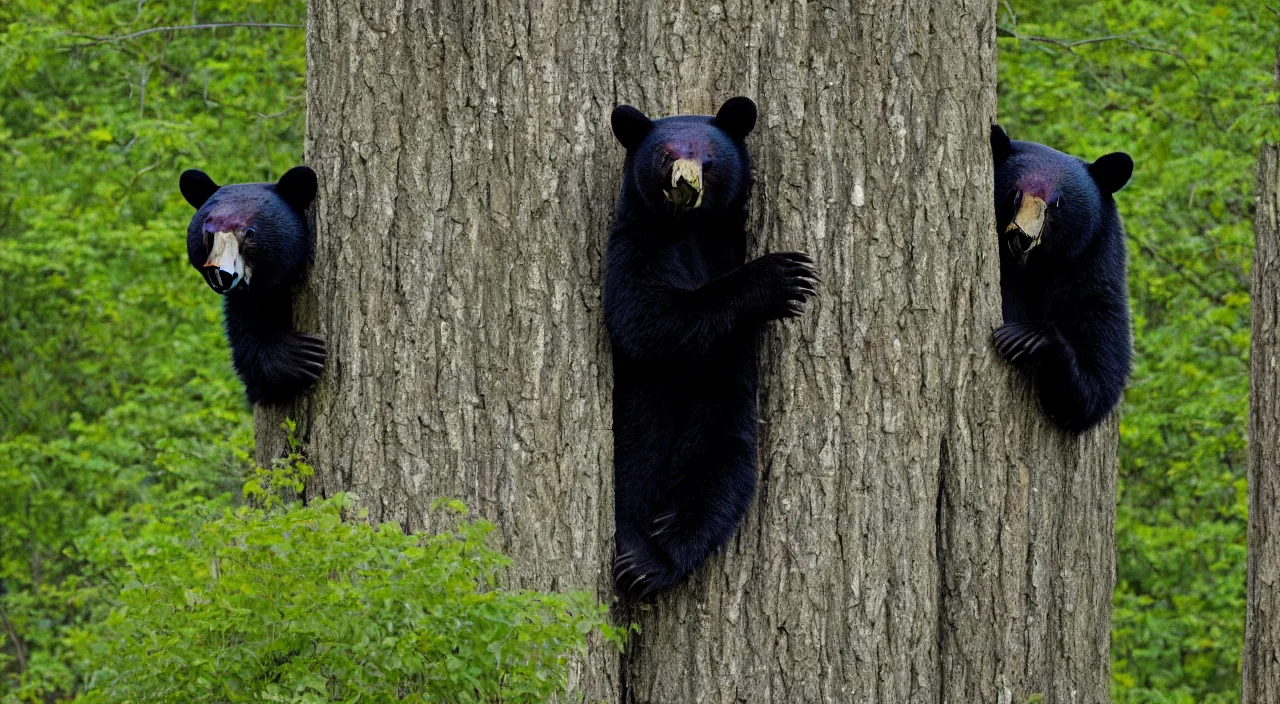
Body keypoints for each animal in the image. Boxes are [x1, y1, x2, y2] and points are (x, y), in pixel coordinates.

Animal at [181, 167, 330, 404]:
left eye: (250, 233)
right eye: (209, 233)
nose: (221, 274)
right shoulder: (245, 300)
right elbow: (247, 337)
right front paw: (303, 356)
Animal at [601, 96, 819, 601]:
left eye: (709, 157)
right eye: (665, 154)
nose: (685, 182)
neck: (692, 234)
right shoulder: (634, 247)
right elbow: (645, 318)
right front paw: (781, 275)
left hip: (717, 428)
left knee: (721, 478)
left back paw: (650, 563)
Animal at [988, 126, 1131, 435]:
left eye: (1057, 202)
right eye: (1015, 193)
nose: (1022, 237)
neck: (1034, 272)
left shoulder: (1092, 272)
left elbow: (1098, 381)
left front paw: (1026, 337)